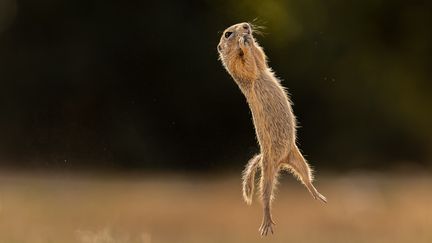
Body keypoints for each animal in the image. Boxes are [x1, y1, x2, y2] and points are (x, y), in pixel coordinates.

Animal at [218, 22, 326, 235]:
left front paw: (251, 41)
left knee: (306, 178)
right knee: (266, 198)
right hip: (267, 173)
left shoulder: (262, 63)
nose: (246, 26)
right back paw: (266, 224)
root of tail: (281, 161)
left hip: (299, 158)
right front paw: (243, 42)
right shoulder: (240, 69)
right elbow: (247, 65)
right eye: (227, 34)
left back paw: (318, 196)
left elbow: (261, 57)